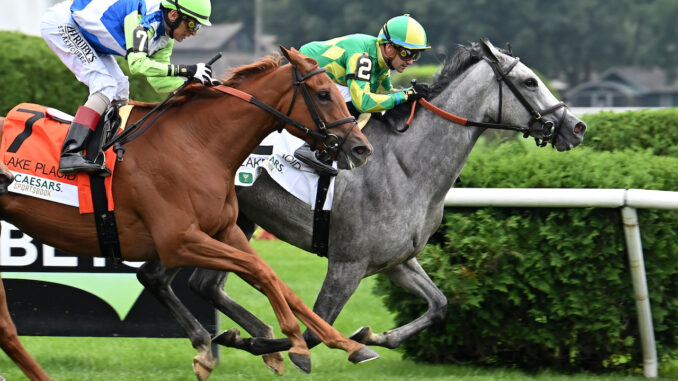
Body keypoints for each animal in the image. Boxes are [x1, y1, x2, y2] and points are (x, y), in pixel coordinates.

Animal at [0, 48, 374, 380]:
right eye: (324, 94)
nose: (361, 148)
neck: (196, 144)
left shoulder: (226, 230)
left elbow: (274, 278)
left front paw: (347, 344)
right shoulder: (179, 241)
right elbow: (260, 272)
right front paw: (294, 344)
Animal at [137, 39, 584, 374]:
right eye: (530, 82)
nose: (576, 127)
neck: (407, 165)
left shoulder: (397, 260)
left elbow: (439, 305)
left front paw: (374, 336)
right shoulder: (347, 263)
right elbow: (316, 328)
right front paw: (297, 345)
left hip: (230, 223)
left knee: (191, 282)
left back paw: (238, 337)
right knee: (163, 277)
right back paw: (235, 338)